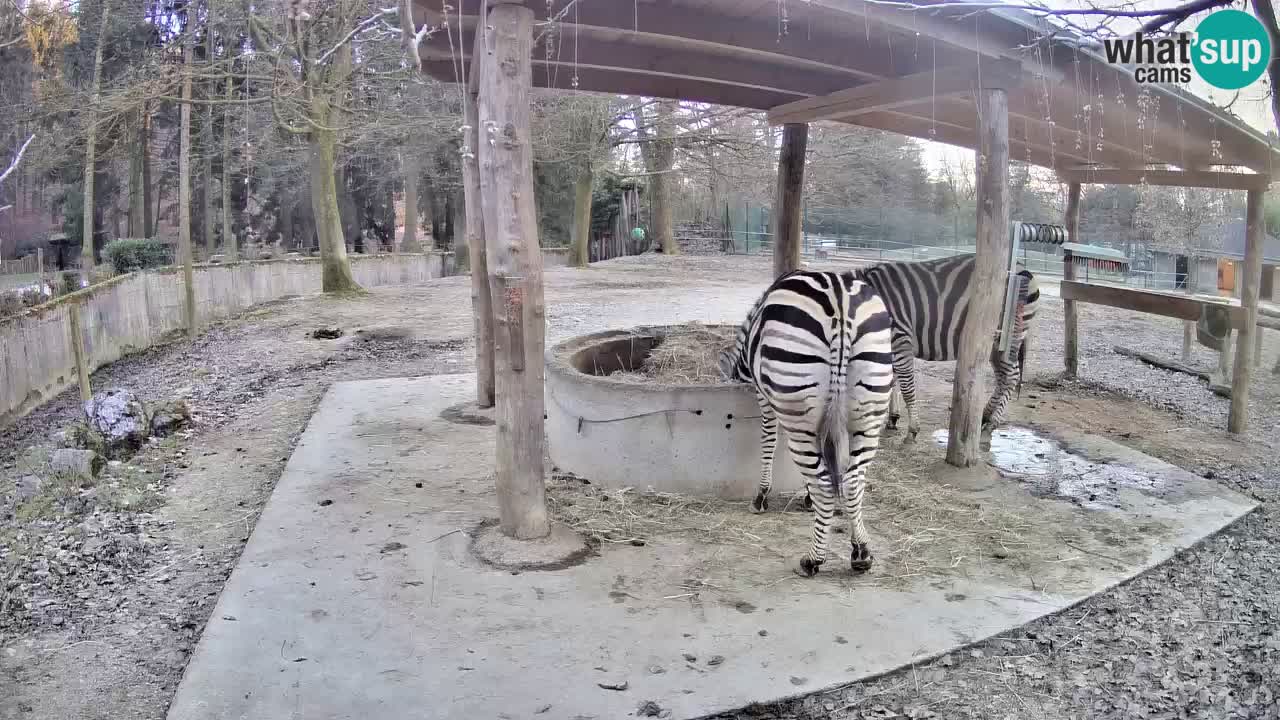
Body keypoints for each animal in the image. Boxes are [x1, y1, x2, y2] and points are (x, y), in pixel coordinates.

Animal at [716, 269, 896, 576]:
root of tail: (839, 300)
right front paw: (809, 499)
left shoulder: (766, 398)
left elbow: (769, 441)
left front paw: (762, 496)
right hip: (870, 406)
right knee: (853, 481)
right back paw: (861, 552)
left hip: (797, 402)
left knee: (825, 482)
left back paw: (813, 559)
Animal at [849, 254, 1039, 440]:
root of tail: (1023, 268)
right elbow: (890, 381)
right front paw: (891, 417)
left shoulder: (899, 337)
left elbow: (905, 386)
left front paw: (912, 428)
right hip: (995, 346)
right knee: (1002, 377)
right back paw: (985, 415)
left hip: (1007, 337)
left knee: (1011, 377)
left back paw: (992, 423)